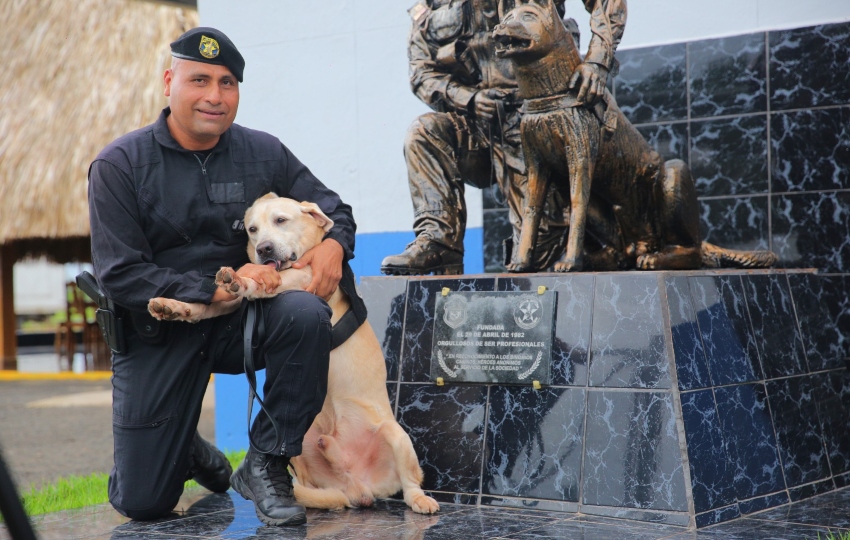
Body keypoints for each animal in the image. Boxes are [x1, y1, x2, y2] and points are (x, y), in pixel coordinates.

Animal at [147, 193, 438, 516]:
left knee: (410, 482)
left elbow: (257, 284)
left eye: (280, 220)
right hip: (303, 450)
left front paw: (245, 279)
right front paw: (175, 307)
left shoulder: (306, 277)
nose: (263, 249)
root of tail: (362, 488)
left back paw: (421, 501)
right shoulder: (232, 303)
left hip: (396, 436)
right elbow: (207, 304)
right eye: (252, 229)